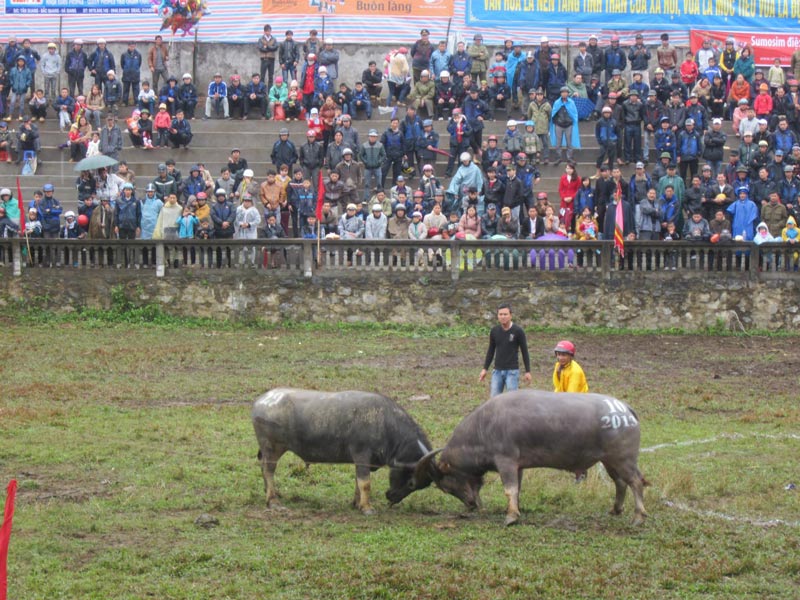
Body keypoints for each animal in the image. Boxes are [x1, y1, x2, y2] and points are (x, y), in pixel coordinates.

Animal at [253, 392, 434, 512]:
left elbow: (357, 482)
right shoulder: (362, 455)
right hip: (272, 448)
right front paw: (367, 507)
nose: (392, 498)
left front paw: (357, 503)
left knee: (263, 468)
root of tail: (260, 401)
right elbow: (365, 483)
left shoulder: (361, 461)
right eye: (411, 483)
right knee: (268, 470)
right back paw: (273, 501)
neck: (385, 423)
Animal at [416, 390, 648, 524]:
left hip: (623, 459)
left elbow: (509, 489)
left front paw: (511, 517)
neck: (484, 426)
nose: (471, 505)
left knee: (635, 482)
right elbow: (517, 489)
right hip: (609, 461)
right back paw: (615, 510)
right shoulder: (518, 466)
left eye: (447, 487)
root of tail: (625, 409)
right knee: (620, 483)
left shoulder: (506, 462)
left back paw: (638, 517)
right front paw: (514, 510)